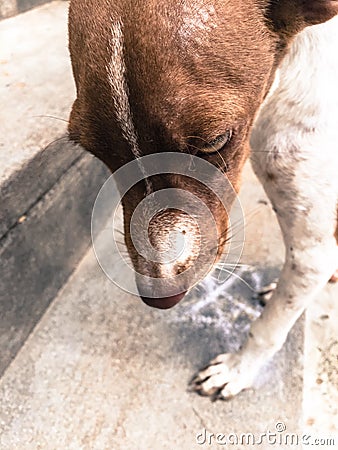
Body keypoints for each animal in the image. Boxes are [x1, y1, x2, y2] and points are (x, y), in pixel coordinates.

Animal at [66, 1, 338, 400]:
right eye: (93, 151)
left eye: (215, 141)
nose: (160, 298)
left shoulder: (312, 250)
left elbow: (268, 327)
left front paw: (238, 369)